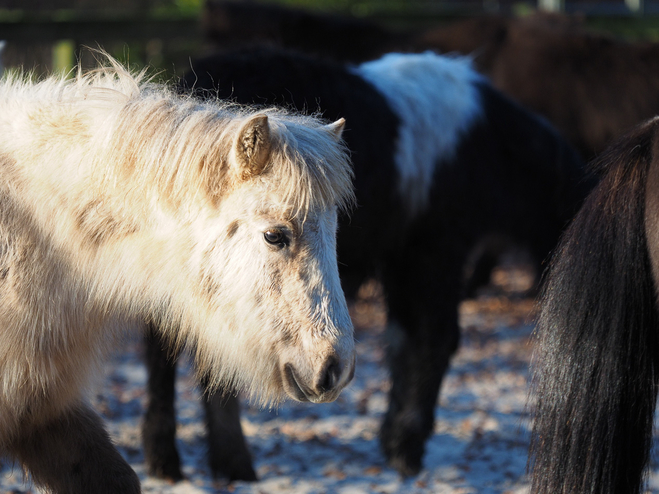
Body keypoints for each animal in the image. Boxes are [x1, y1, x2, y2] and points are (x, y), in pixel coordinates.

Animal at [142, 46, 592, 478]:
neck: (492, 149)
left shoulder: (403, 261)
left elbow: (402, 340)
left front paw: (395, 439)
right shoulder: (434, 253)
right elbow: (434, 338)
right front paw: (407, 447)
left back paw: (188, 458)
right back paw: (210, 461)